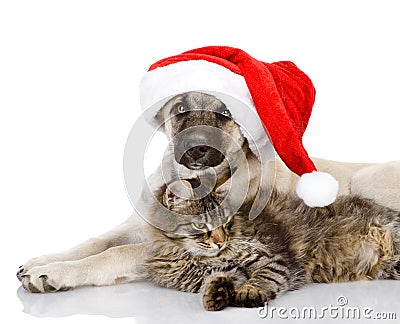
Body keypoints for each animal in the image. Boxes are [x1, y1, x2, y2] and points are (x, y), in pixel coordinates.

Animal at [17, 92, 400, 294]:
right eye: (179, 109)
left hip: (366, 181)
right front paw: (44, 260)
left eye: (226, 113)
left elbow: (114, 254)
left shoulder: (172, 250)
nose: (196, 147)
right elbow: (97, 241)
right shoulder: (139, 225)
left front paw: (58, 273)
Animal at [144, 180, 400, 312]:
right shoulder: (210, 274)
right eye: (200, 224)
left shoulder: (272, 257)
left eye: (226, 224)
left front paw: (249, 292)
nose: (220, 242)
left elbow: (264, 278)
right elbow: (216, 279)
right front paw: (217, 292)